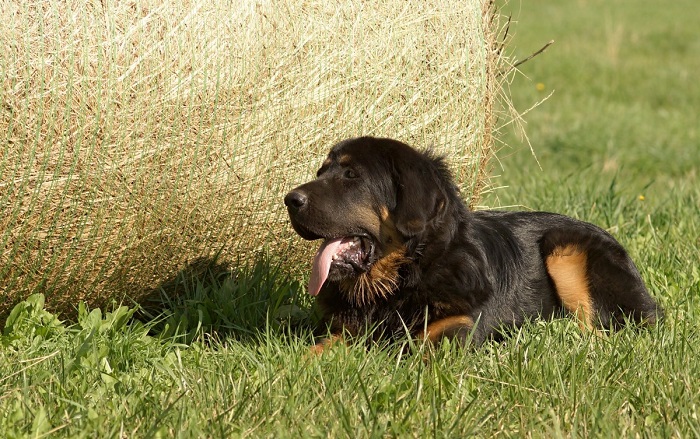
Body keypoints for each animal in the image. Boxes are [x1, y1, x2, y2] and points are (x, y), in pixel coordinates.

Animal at [284, 138, 660, 350]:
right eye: (321, 172)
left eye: (351, 176)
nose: (289, 200)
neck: (407, 277)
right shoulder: (344, 331)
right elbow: (315, 350)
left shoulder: (458, 328)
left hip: (564, 249)